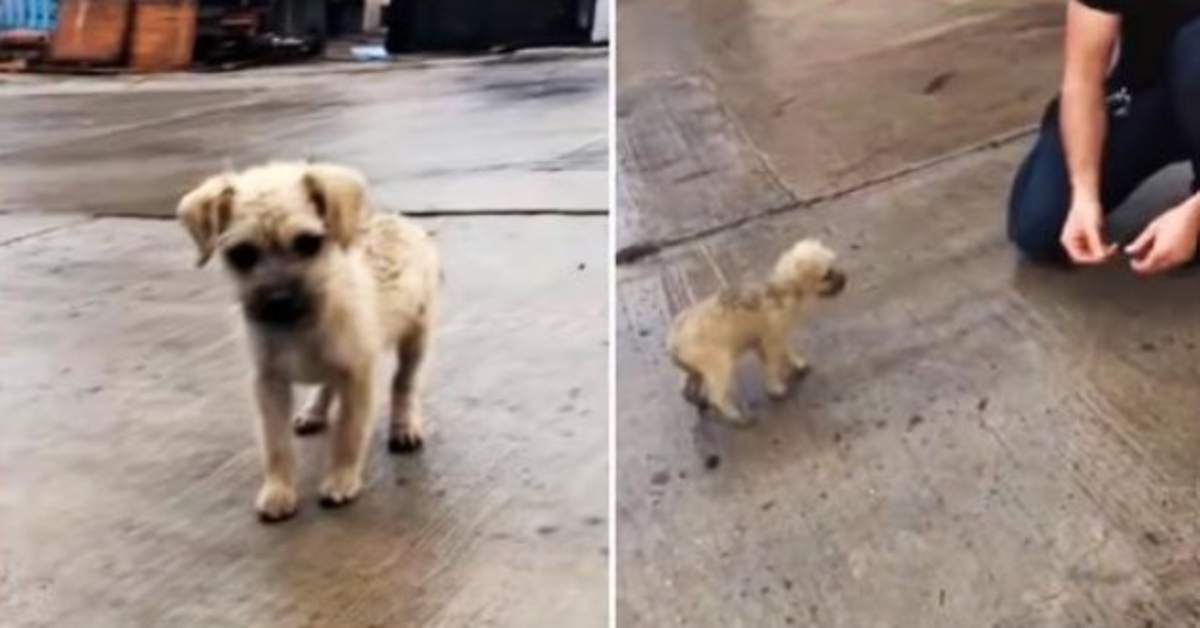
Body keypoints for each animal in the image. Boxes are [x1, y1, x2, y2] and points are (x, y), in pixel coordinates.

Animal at [175, 160, 439, 521]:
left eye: (308, 243)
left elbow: (348, 433)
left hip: (416, 337)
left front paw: (341, 479)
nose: (279, 301)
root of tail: (397, 219)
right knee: (327, 384)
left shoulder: (356, 375)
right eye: (242, 254)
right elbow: (275, 444)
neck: (299, 327)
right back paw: (315, 410)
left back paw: (403, 425)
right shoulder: (268, 382)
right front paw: (279, 489)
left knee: (404, 383)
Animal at [667, 238, 844, 425]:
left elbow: (787, 350)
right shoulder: (771, 342)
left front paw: (797, 363)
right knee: (717, 397)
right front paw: (775, 388)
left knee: (687, 389)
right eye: (827, 274)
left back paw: (700, 402)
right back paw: (736, 416)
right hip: (720, 366)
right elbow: (772, 366)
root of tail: (673, 342)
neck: (781, 290)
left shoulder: (773, 338)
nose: (845, 278)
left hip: (694, 370)